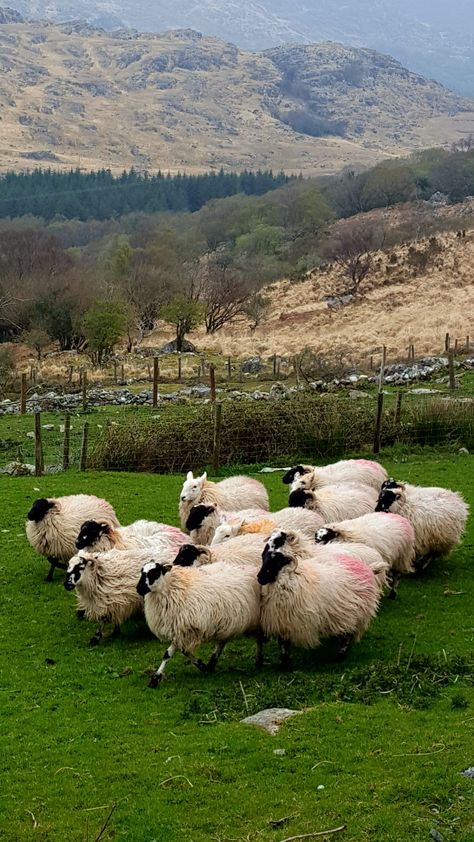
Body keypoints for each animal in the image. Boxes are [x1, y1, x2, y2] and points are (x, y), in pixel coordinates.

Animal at [137, 556, 262, 684]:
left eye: (155, 573)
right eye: (142, 572)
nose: (139, 589)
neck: (174, 588)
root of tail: (252, 568)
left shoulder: (184, 629)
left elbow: (168, 654)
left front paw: (155, 678)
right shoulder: (180, 631)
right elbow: (182, 651)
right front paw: (202, 666)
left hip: (257, 619)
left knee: (259, 639)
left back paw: (258, 661)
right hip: (227, 620)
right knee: (222, 642)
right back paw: (212, 664)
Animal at [256, 528, 386, 668]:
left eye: (278, 541)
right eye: (263, 555)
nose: (260, 578)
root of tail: (370, 566)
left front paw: (286, 664)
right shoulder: (283, 622)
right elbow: (283, 644)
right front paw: (284, 663)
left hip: (355, 614)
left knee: (349, 634)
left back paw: (340, 655)